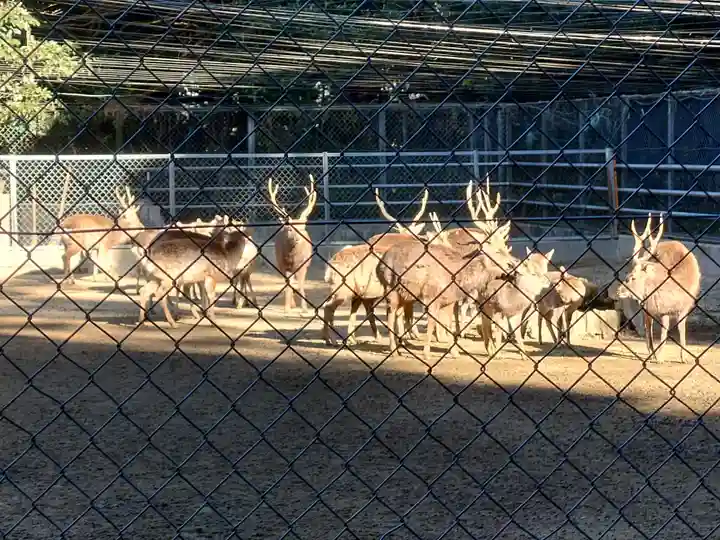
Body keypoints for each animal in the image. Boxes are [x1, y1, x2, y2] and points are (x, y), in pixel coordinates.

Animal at [267, 175, 317, 314]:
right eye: (290, 229)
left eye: (302, 227)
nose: (297, 239)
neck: (291, 257)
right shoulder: (283, 264)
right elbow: (288, 284)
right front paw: (287, 308)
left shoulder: (303, 264)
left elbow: (301, 284)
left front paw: (304, 309)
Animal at [613, 213, 701, 363]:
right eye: (627, 275)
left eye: (632, 278)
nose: (619, 291)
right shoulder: (659, 309)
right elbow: (661, 331)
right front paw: (658, 356)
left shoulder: (685, 306)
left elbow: (680, 328)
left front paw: (683, 357)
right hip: (647, 306)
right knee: (648, 326)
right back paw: (651, 352)